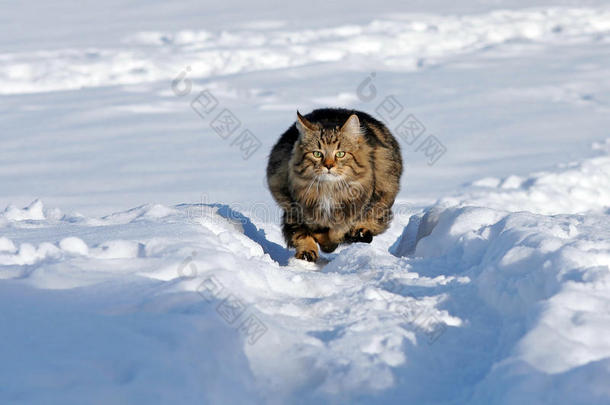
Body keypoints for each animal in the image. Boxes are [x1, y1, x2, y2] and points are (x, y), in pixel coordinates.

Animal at [264, 107, 400, 262]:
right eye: (317, 154)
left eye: (340, 154)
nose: (328, 166)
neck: (328, 190)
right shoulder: (293, 206)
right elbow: (302, 233)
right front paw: (308, 250)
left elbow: (339, 230)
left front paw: (334, 240)